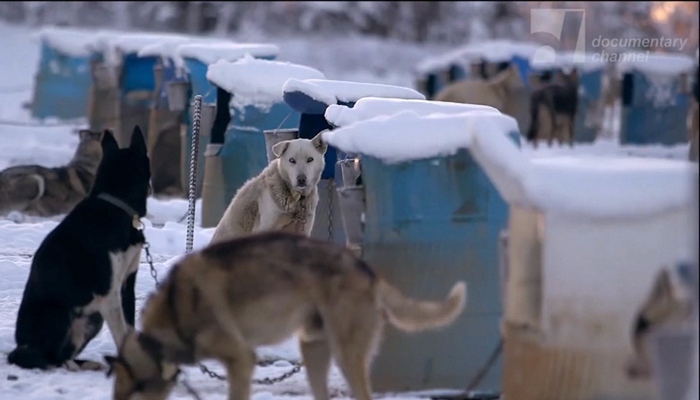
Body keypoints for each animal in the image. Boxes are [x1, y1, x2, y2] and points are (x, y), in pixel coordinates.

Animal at [8, 126, 152, 370]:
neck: (116, 206)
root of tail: (20, 347)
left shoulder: (126, 286)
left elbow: (130, 328)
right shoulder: (109, 294)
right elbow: (122, 333)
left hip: (92, 319)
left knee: (62, 354)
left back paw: (87, 365)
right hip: (58, 313)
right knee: (49, 358)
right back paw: (69, 366)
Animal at [105, 231, 464, 400]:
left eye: (131, 394)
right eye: (118, 397)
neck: (175, 310)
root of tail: (368, 271)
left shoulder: (242, 359)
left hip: (346, 357)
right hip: (313, 351)